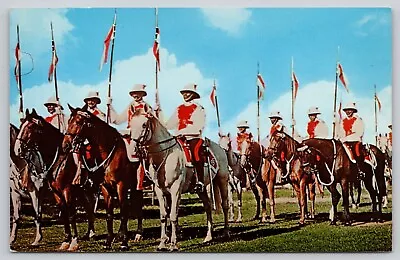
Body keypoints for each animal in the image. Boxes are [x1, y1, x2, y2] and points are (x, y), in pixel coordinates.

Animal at [13, 109, 96, 250]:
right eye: (21, 126)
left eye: (30, 127)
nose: (17, 149)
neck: (59, 159)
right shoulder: (56, 193)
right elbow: (64, 214)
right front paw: (66, 241)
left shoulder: (67, 191)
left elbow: (71, 214)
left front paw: (74, 242)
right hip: (84, 191)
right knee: (89, 208)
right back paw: (90, 233)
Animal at [62, 105, 144, 250]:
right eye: (68, 121)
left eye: (78, 122)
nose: (65, 145)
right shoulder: (105, 188)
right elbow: (109, 215)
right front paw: (108, 241)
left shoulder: (121, 186)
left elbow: (123, 214)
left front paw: (124, 243)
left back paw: (138, 234)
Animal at [130, 110, 230, 251]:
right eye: (130, 124)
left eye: (144, 124)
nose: (133, 150)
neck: (165, 155)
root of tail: (220, 148)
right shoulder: (160, 191)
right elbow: (163, 216)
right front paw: (162, 244)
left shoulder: (175, 189)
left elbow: (173, 216)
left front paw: (173, 244)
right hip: (201, 189)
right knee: (208, 207)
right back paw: (208, 236)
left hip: (222, 180)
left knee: (225, 205)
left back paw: (226, 232)